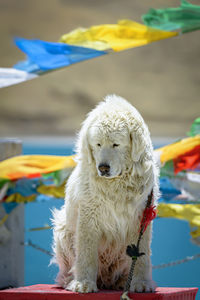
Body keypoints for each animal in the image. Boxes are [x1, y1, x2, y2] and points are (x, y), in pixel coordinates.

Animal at [52, 95, 159, 292]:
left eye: (116, 144)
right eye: (98, 144)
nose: (103, 168)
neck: (116, 184)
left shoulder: (141, 215)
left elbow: (141, 253)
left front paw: (141, 283)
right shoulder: (88, 215)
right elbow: (86, 253)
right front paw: (83, 284)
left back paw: (122, 282)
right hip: (63, 230)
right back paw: (70, 281)